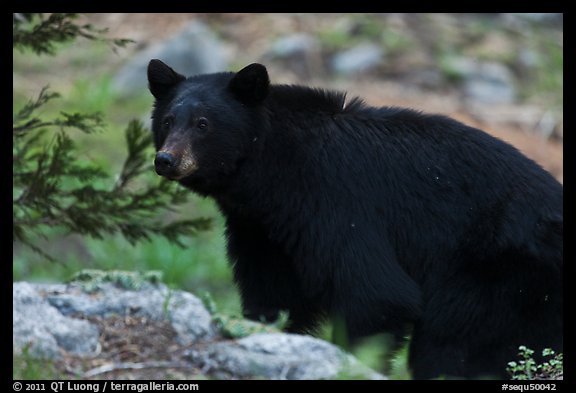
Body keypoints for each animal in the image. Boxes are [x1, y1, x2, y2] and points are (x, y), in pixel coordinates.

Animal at [146, 59, 560, 378]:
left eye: (203, 123)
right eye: (167, 121)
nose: (166, 160)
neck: (271, 175)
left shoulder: (337, 203)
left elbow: (376, 293)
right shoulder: (262, 230)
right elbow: (273, 296)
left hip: (495, 280)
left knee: (452, 347)